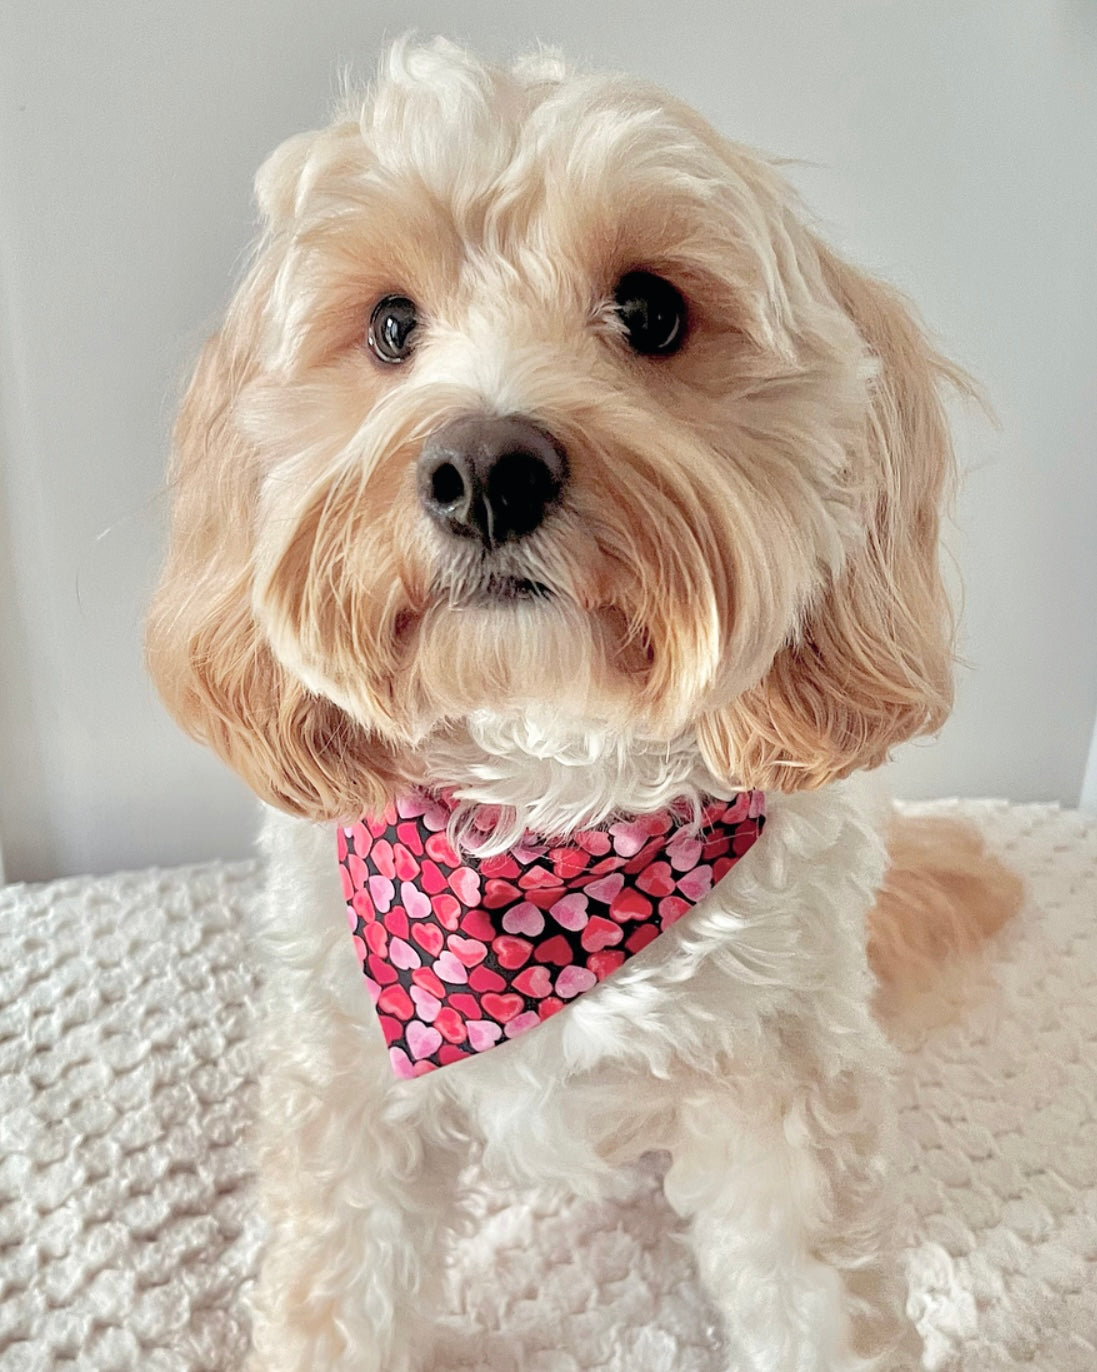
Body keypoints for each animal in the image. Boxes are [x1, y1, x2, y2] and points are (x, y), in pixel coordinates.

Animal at [145, 37, 1020, 1366]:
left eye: (650, 310)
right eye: (389, 325)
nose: (482, 472)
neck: (545, 806)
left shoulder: (782, 1095)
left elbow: (813, 1297)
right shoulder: (348, 1089)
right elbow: (343, 1290)